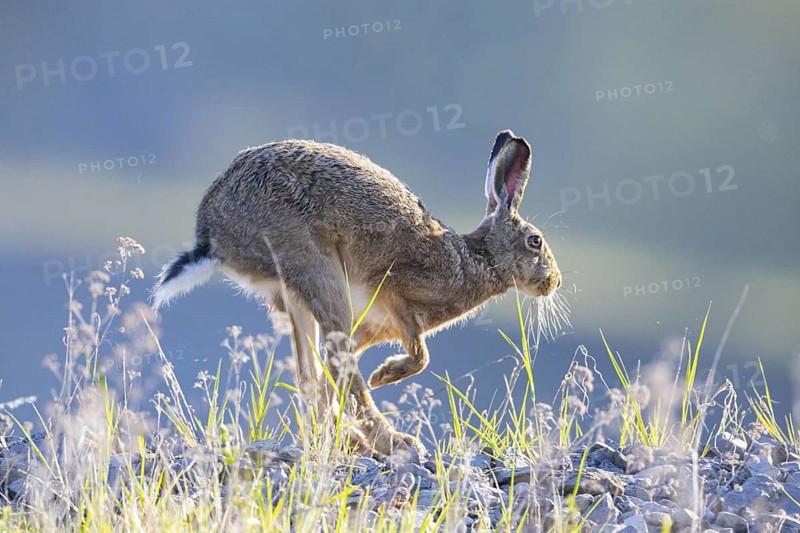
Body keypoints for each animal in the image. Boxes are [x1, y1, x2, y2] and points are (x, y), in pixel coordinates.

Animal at [152, 130, 562, 456]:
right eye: (535, 241)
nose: (553, 283)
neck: (475, 259)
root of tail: (212, 236)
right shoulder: (396, 295)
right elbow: (420, 356)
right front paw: (385, 375)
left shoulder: (373, 327)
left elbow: (329, 378)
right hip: (316, 266)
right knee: (340, 363)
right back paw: (391, 442)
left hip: (298, 293)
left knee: (311, 372)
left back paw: (343, 440)